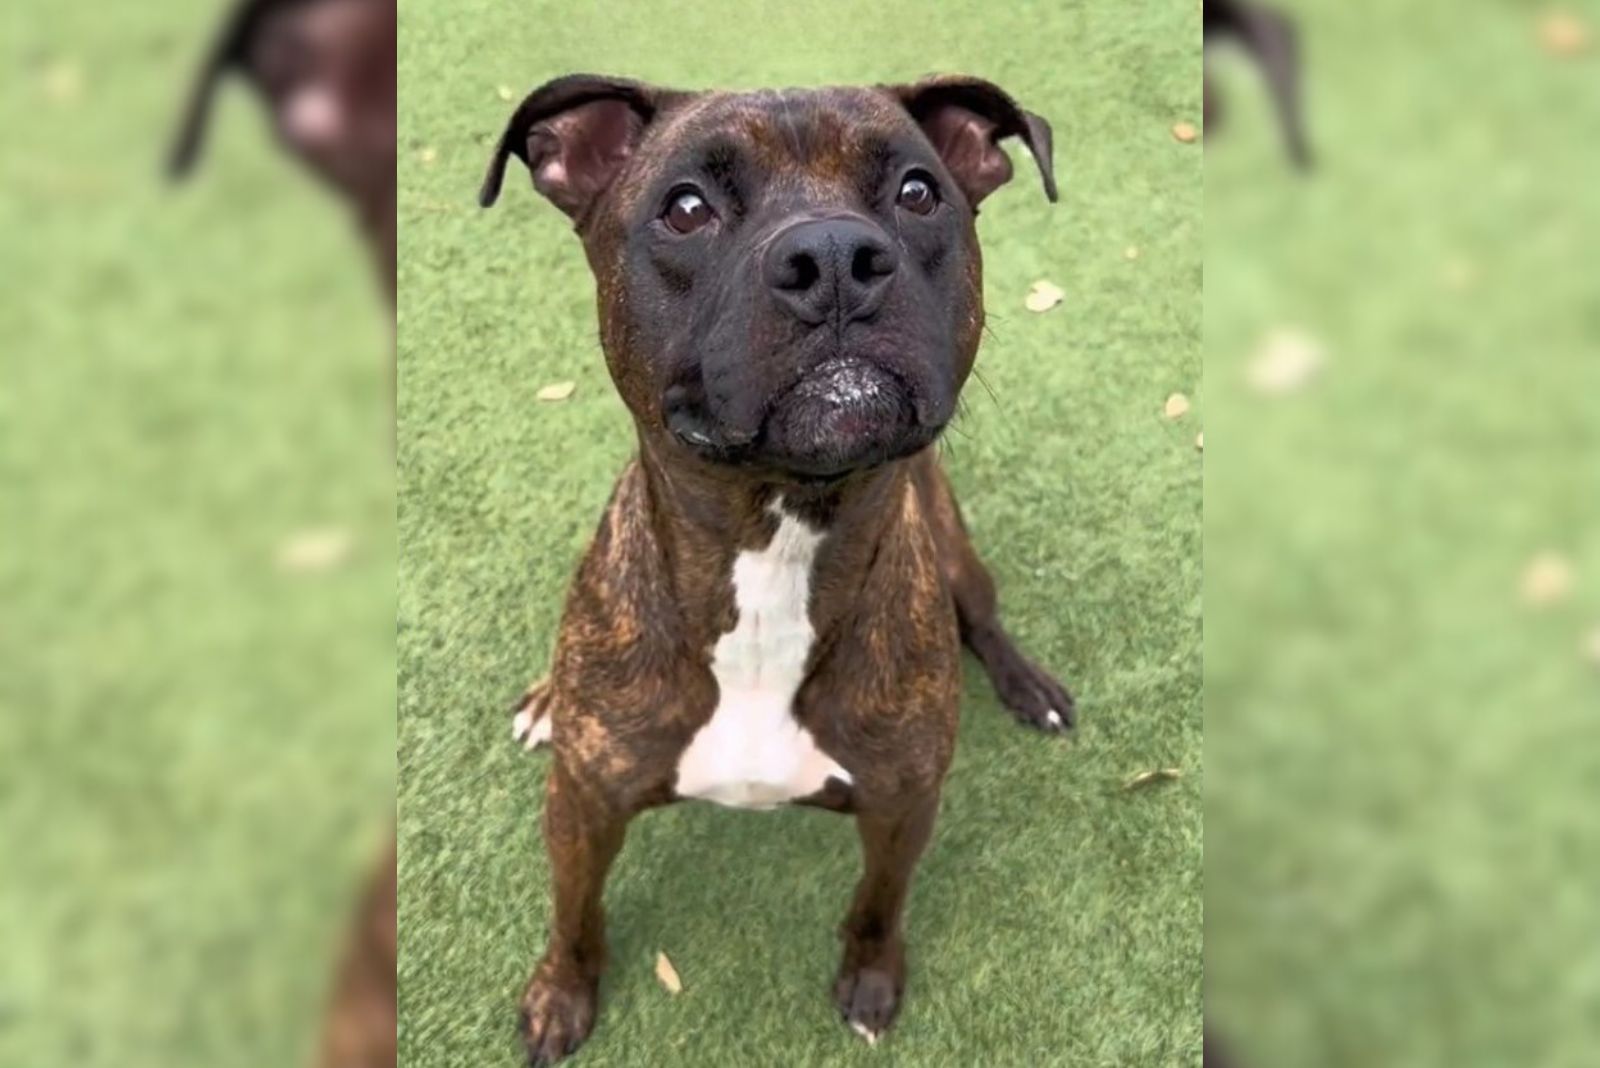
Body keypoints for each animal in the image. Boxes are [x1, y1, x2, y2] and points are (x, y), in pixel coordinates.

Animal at [473, 73, 1075, 1061]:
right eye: (685, 209)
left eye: (918, 192)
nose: (833, 257)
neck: (778, 542)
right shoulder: (581, 806)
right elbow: (575, 914)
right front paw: (561, 996)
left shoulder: (904, 805)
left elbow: (878, 904)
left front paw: (871, 980)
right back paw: (544, 702)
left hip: (955, 546)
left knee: (983, 616)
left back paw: (1032, 686)